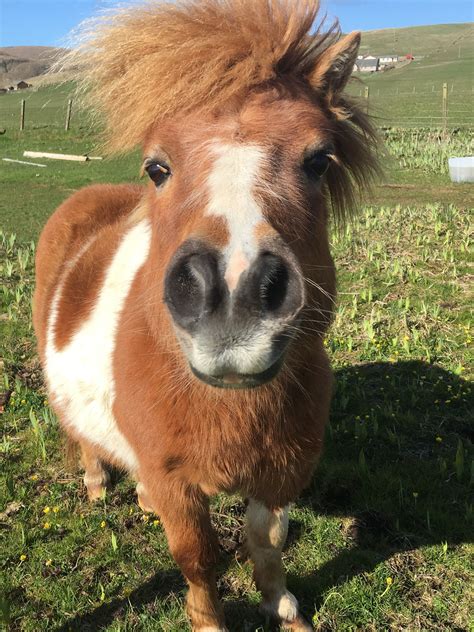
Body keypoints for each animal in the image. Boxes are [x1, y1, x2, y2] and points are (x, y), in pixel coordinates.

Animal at [33, 2, 378, 628]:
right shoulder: (178, 484)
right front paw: (209, 619)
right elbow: (197, 556)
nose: (235, 295)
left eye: (319, 160)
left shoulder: (282, 469)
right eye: (157, 167)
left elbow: (265, 540)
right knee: (81, 433)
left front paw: (283, 606)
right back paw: (96, 482)